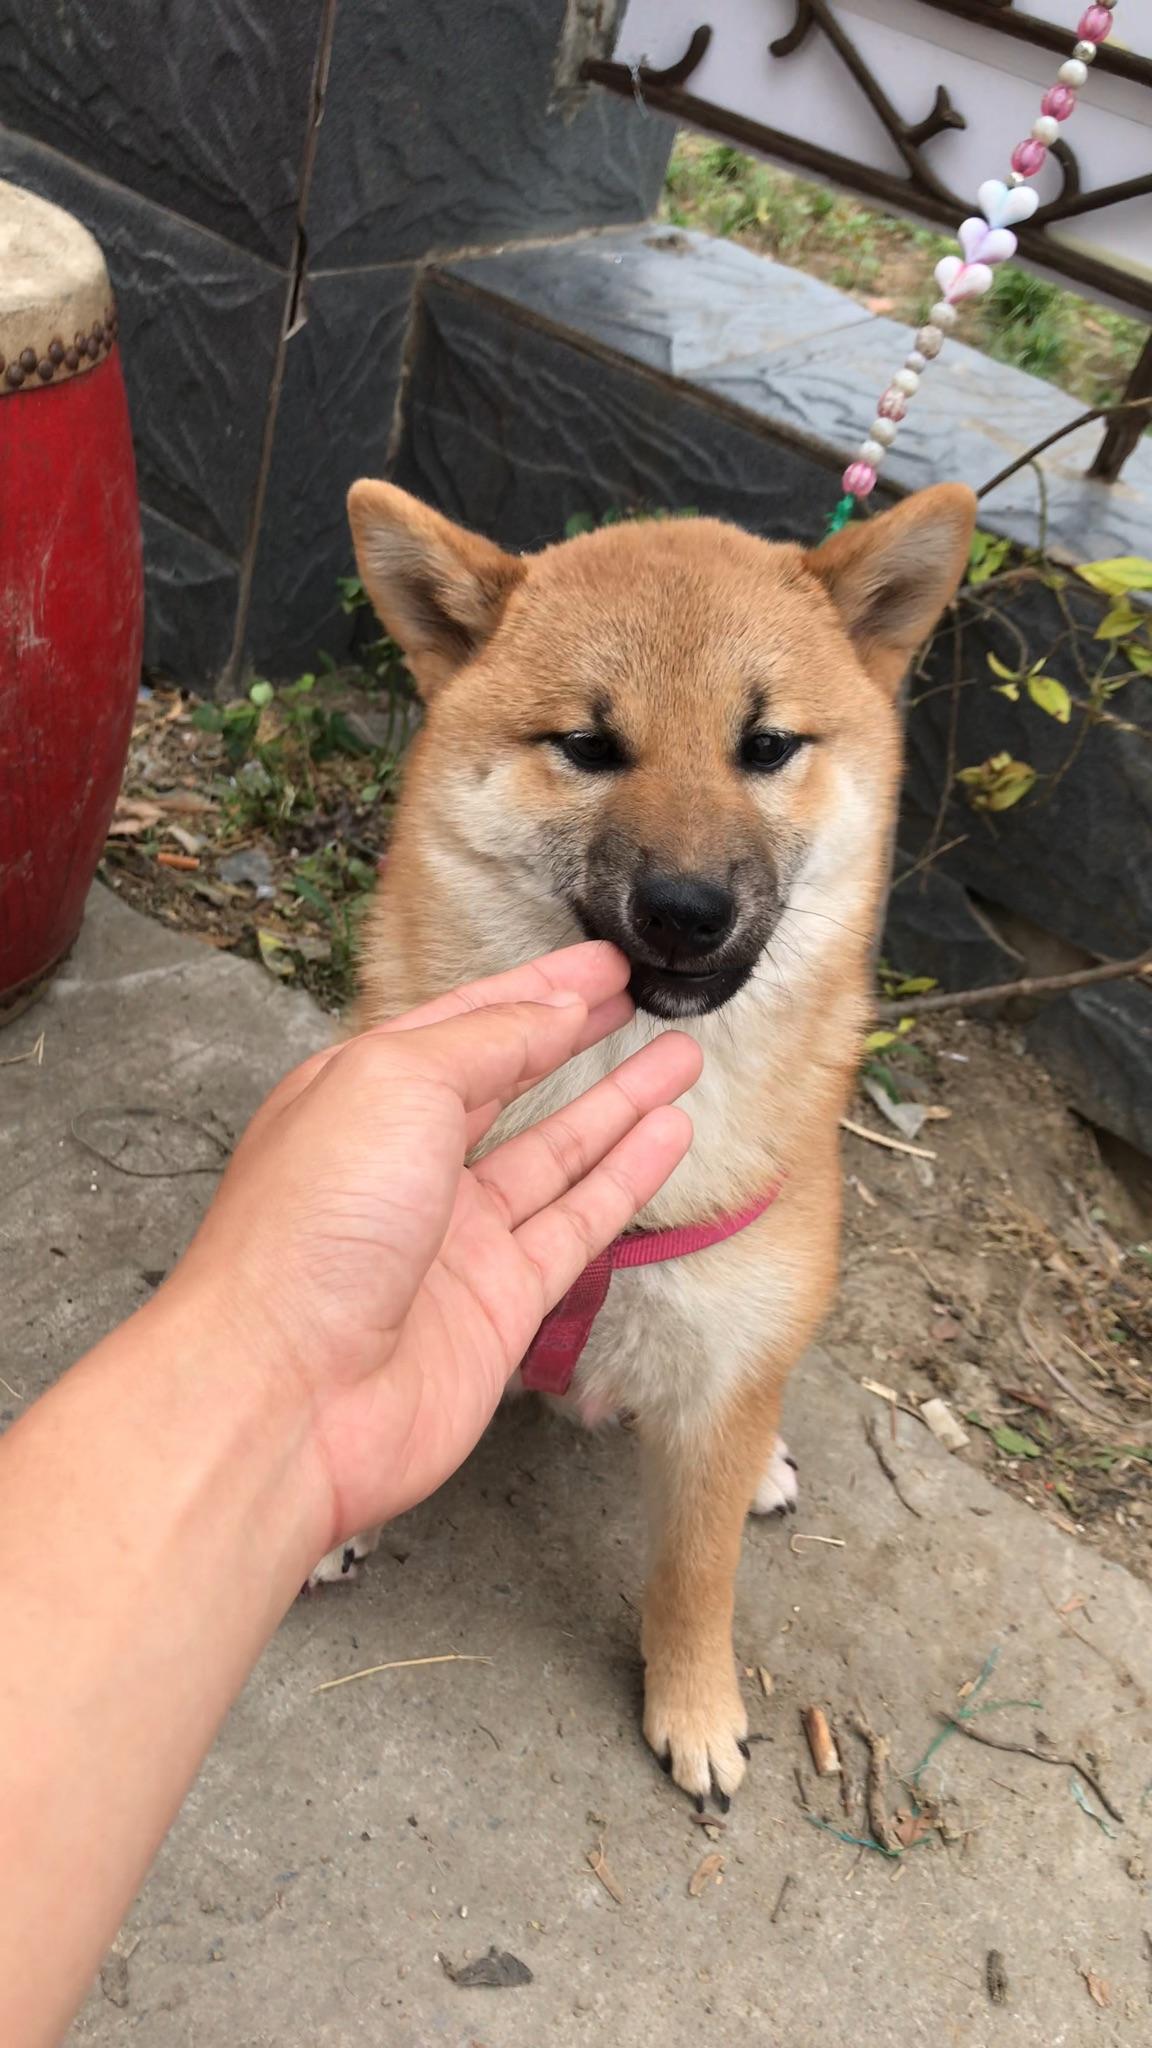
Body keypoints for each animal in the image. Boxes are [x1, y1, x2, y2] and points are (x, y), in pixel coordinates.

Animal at [311, 475, 967, 1794]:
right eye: (589, 744)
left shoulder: (721, 1372)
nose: (687, 908)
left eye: (765, 745)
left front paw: (696, 1702)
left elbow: (695, 1571)